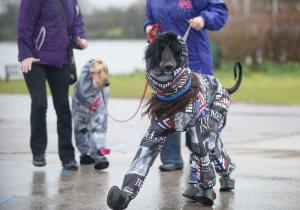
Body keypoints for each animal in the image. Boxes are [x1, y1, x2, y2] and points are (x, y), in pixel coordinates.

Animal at [106, 30, 243, 209]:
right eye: (161, 48)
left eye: (176, 49)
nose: (169, 66)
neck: (175, 94)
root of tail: (224, 88)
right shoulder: (156, 131)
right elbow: (141, 158)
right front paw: (122, 196)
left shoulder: (198, 129)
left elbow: (202, 156)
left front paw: (207, 192)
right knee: (212, 153)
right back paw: (195, 189)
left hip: (213, 122)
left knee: (213, 152)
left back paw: (220, 184)